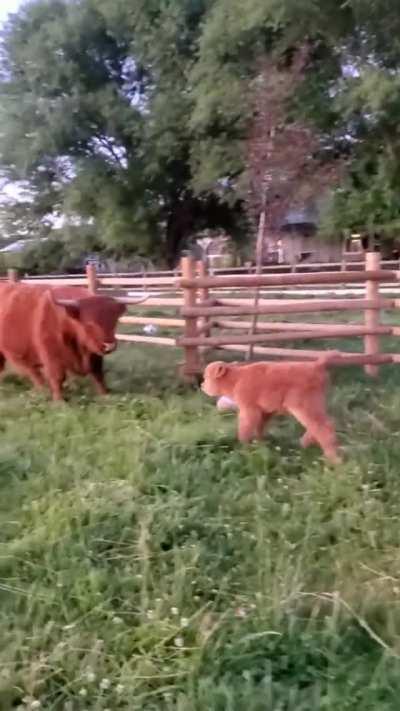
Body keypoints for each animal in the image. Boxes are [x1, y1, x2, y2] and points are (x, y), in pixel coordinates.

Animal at [0, 283, 138, 400]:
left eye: (114, 321)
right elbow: (57, 377)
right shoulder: (51, 355)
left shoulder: (94, 354)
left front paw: (105, 395)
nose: (109, 345)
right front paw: (59, 402)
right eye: (89, 323)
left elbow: (98, 374)